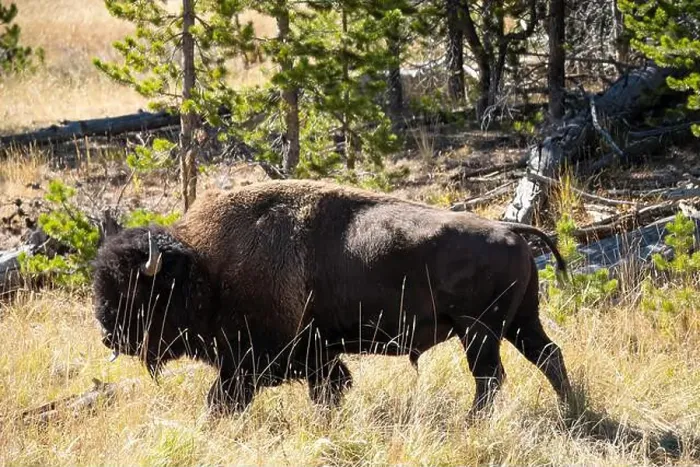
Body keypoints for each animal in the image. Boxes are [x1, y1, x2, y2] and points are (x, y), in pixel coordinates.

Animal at [93, 179, 572, 415]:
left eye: (139, 290)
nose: (107, 333)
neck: (205, 268)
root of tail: (509, 228)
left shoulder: (252, 361)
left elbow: (224, 398)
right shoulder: (314, 355)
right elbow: (329, 388)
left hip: (480, 330)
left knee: (490, 377)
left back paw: (474, 423)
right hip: (519, 322)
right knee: (548, 356)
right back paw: (571, 411)